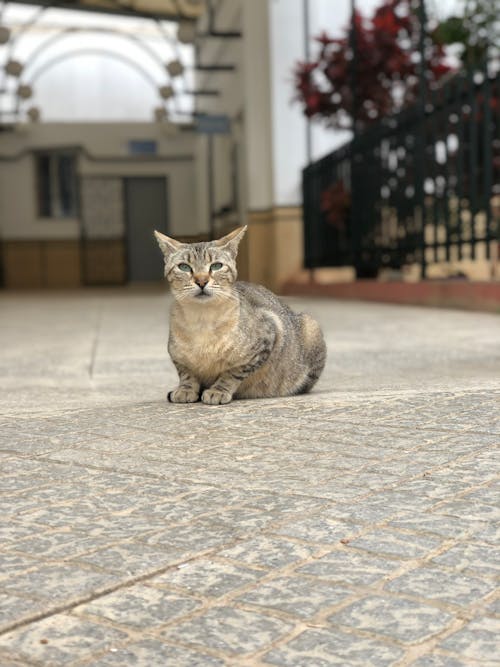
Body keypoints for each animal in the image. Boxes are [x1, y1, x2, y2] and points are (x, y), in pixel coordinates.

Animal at [152, 227, 326, 404]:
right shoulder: (178, 356)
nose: (201, 281)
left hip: (311, 327)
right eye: (184, 267)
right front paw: (185, 389)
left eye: (216, 266)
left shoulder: (266, 339)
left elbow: (231, 373)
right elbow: (186, 373)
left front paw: (218, 391)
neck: (202, 320)